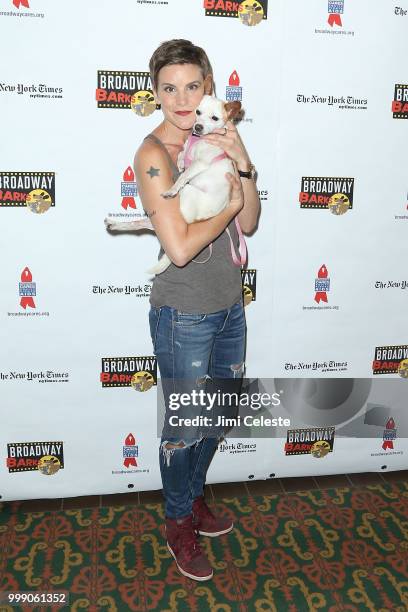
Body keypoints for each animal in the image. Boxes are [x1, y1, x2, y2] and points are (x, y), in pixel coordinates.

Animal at [105, 94, 242, 274]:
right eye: (198, 112)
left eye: (215, 118)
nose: (197, 127)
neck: (199, 140)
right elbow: (182, 154)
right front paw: (180, 162)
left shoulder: (200, 163)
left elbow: (183, 176)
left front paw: (173, 187)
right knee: (144, 224)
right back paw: (116, 224)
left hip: (189, 192)